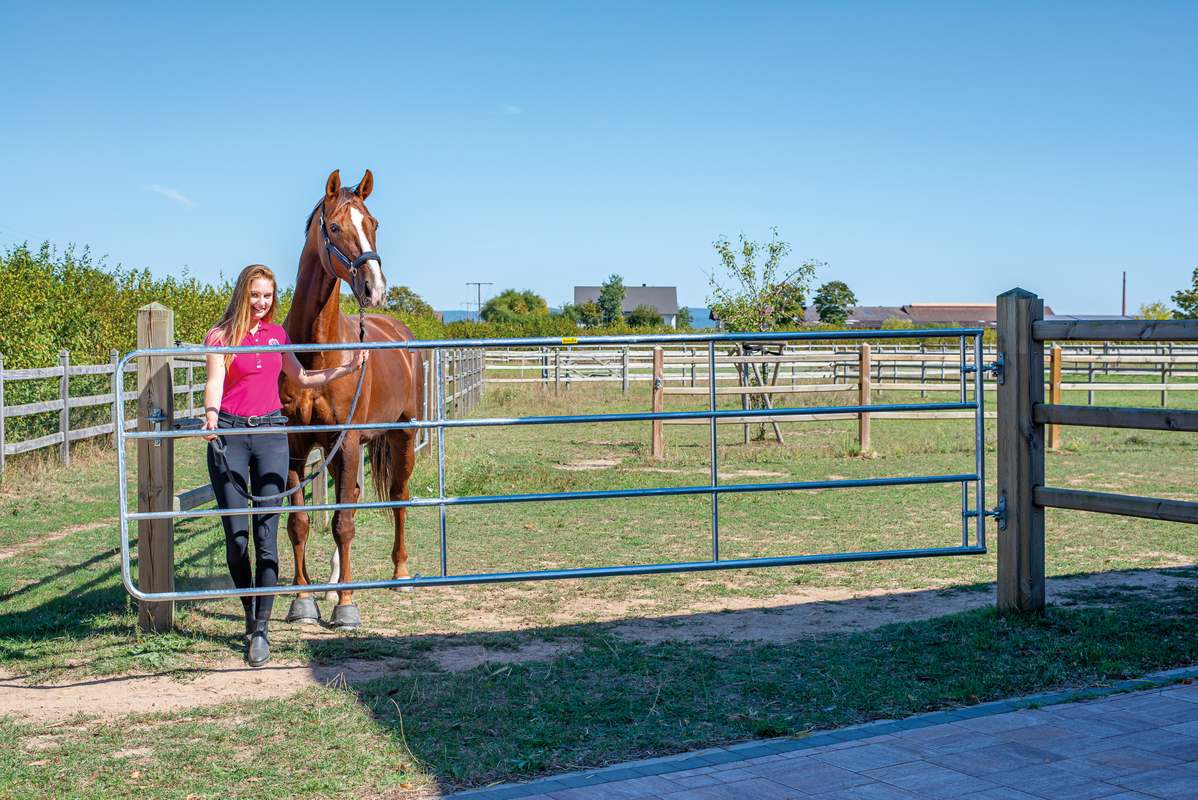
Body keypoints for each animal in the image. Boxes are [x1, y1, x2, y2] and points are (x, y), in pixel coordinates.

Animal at [276, 170, 424, 632]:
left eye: (374, 223)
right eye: (337, 227)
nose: (374, 288)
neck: (318, 354)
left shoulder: (349, 442)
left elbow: (342, 525)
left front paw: (345, 606)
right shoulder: (297, 446)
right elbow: (300, 523)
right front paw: (304, 601)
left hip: (401, 436)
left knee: (397, 496)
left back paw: (400, 574)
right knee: (354, 497)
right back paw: (330, 583)